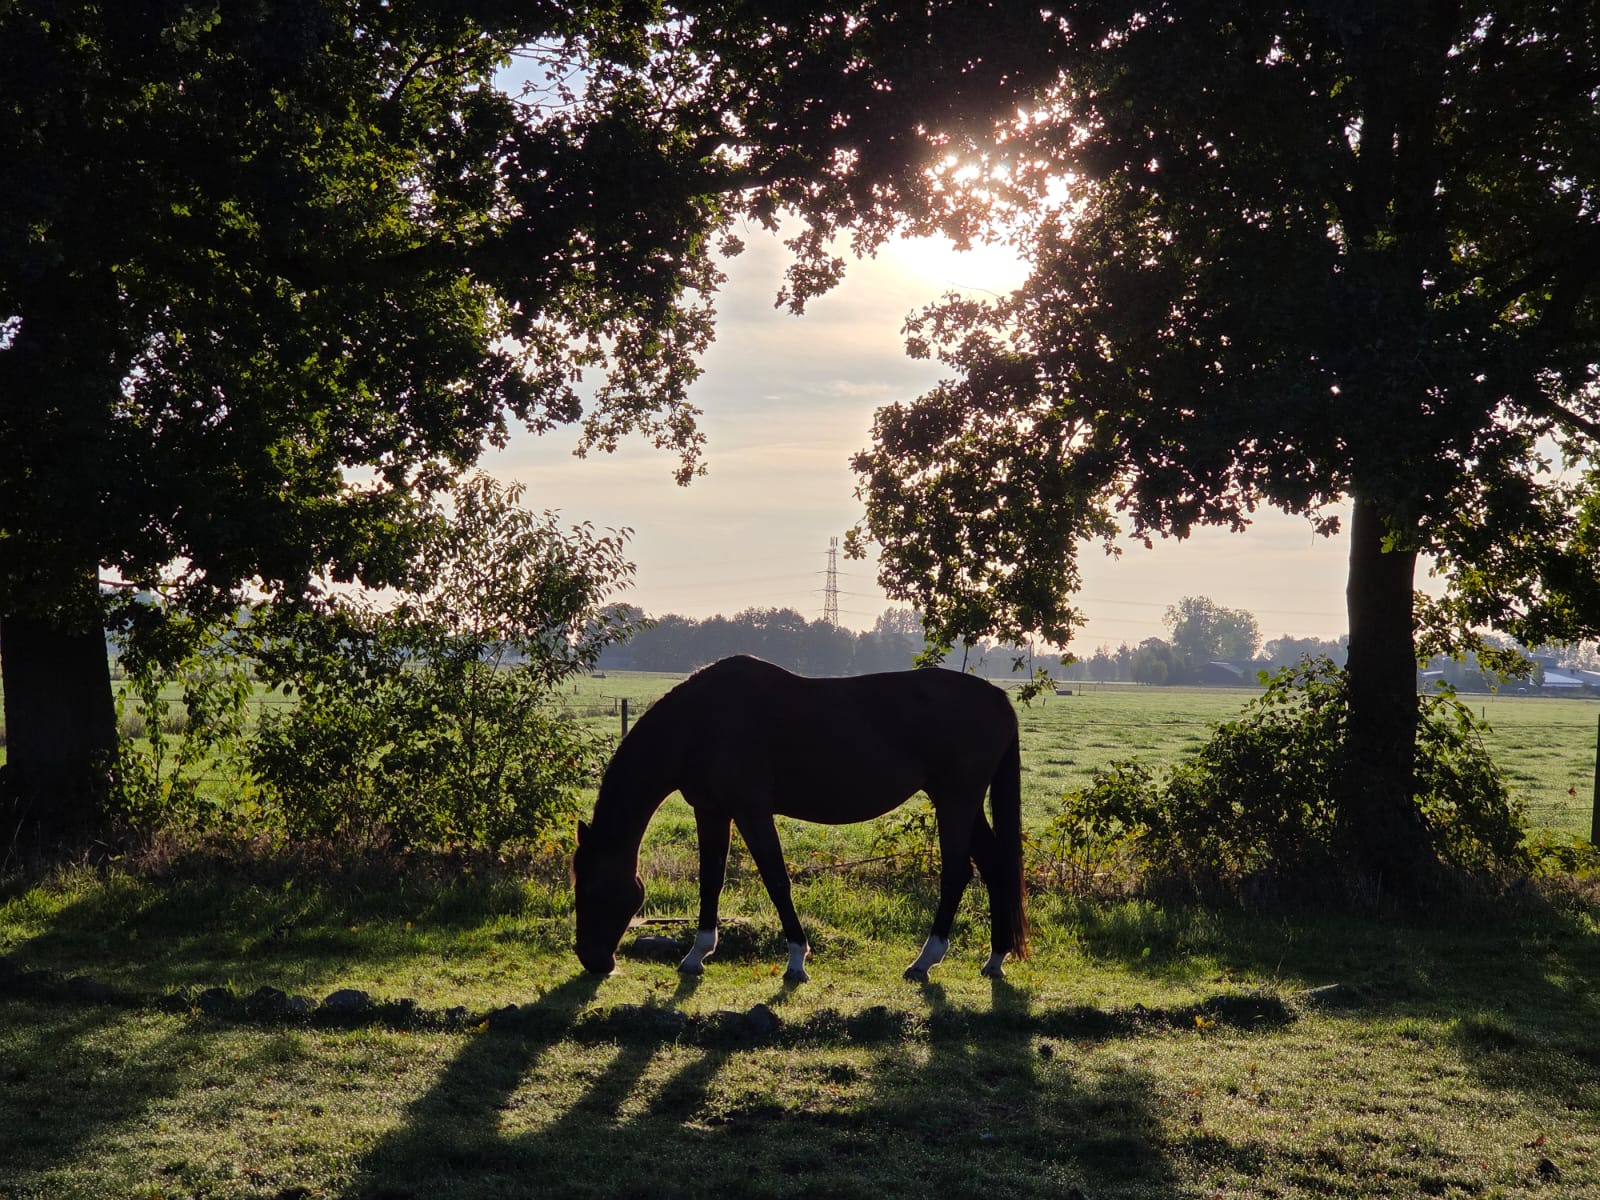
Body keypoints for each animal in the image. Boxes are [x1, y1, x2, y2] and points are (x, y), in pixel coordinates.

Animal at [572, 655, 1029, 983]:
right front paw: (696, 954)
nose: (592, 961)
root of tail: (997, 699)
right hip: (959, 802)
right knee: (993, 867)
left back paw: (925, 961)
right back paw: (995, 959)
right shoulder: (712, 810)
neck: (701, 722)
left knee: (956, 873)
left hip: (956, 800)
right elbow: (711, 879)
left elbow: (776, 880)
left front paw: (796, 961)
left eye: (591, 888)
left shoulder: (752, 811)